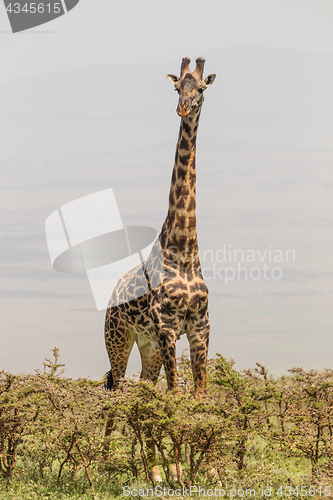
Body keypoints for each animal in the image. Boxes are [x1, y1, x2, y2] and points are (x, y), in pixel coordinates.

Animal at [105, 57, 217, 402]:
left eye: (201, 88)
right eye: (177, 87)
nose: (183, 108)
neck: (184, 249)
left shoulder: (200, 325)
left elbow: (200, 395)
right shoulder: (166, 325)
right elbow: (175, 392)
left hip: (148, 345)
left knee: (143, 385)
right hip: (117, 337)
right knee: (116, 389)